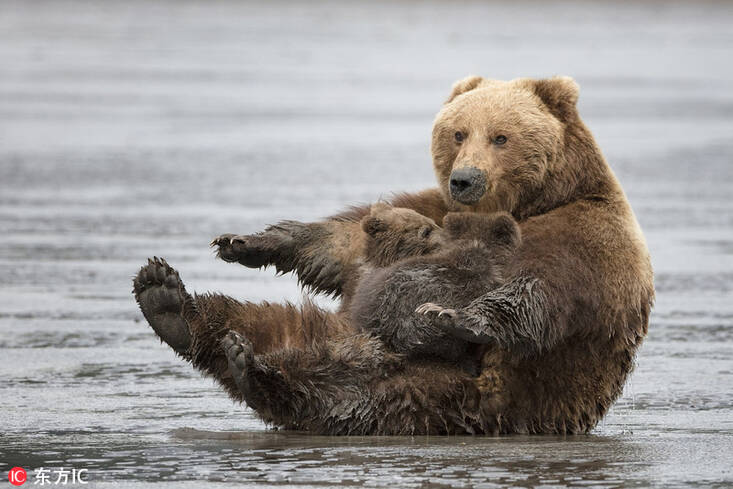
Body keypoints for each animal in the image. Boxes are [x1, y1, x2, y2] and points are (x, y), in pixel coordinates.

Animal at [130, 76, 652, 434]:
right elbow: (347, 243)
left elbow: (540, 290)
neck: (526, 204)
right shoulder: (431, 210)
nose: (465, 179)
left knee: (342, 388)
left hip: (439, 394)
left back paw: (254, 369)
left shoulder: (585, 236)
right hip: (350, 337)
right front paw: (248, 241)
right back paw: (170, 302)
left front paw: (456, 316)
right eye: (458, 132)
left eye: (501, 136)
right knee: (265, 321)